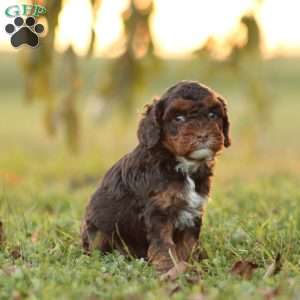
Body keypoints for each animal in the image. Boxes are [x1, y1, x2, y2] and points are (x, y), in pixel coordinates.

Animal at [81, 81, 231, 276]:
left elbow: (188, 244)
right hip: (98, 232)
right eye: (178, 118)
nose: (203, 135)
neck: (180, 165)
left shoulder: (193, 212)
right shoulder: (158, 212)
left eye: (213, 115)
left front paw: (191, 265)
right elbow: (163, 245)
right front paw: (168, 269)